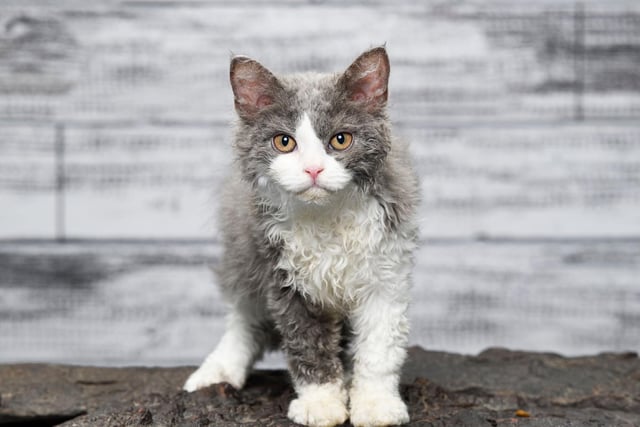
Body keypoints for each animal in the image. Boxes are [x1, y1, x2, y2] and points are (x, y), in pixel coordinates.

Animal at [184, 46, 420, 427]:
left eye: (341, 139)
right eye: (284, 142)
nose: (313, 169)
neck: (326, 216)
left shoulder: (387, 271)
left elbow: (379, 347)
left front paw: (376, 403)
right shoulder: (283, 276)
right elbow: (307, 344)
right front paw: (321, 403)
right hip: (242, 253)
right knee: (244, 318)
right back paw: (218, 369)